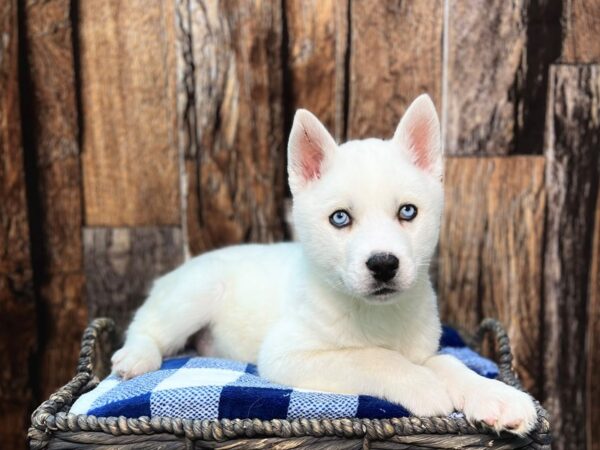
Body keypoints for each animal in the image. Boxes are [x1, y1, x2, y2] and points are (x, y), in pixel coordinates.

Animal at [112, 95, 540, 436]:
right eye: (340, 218)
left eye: (408, 212)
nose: (383, 265)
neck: (375, 314)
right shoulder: (287, 353)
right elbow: (373, 357)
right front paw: (425, 386)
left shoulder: (422, 348)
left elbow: (448, 362)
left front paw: (497, 396)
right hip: (194, 293)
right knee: (145, 326)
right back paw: (134, 357)